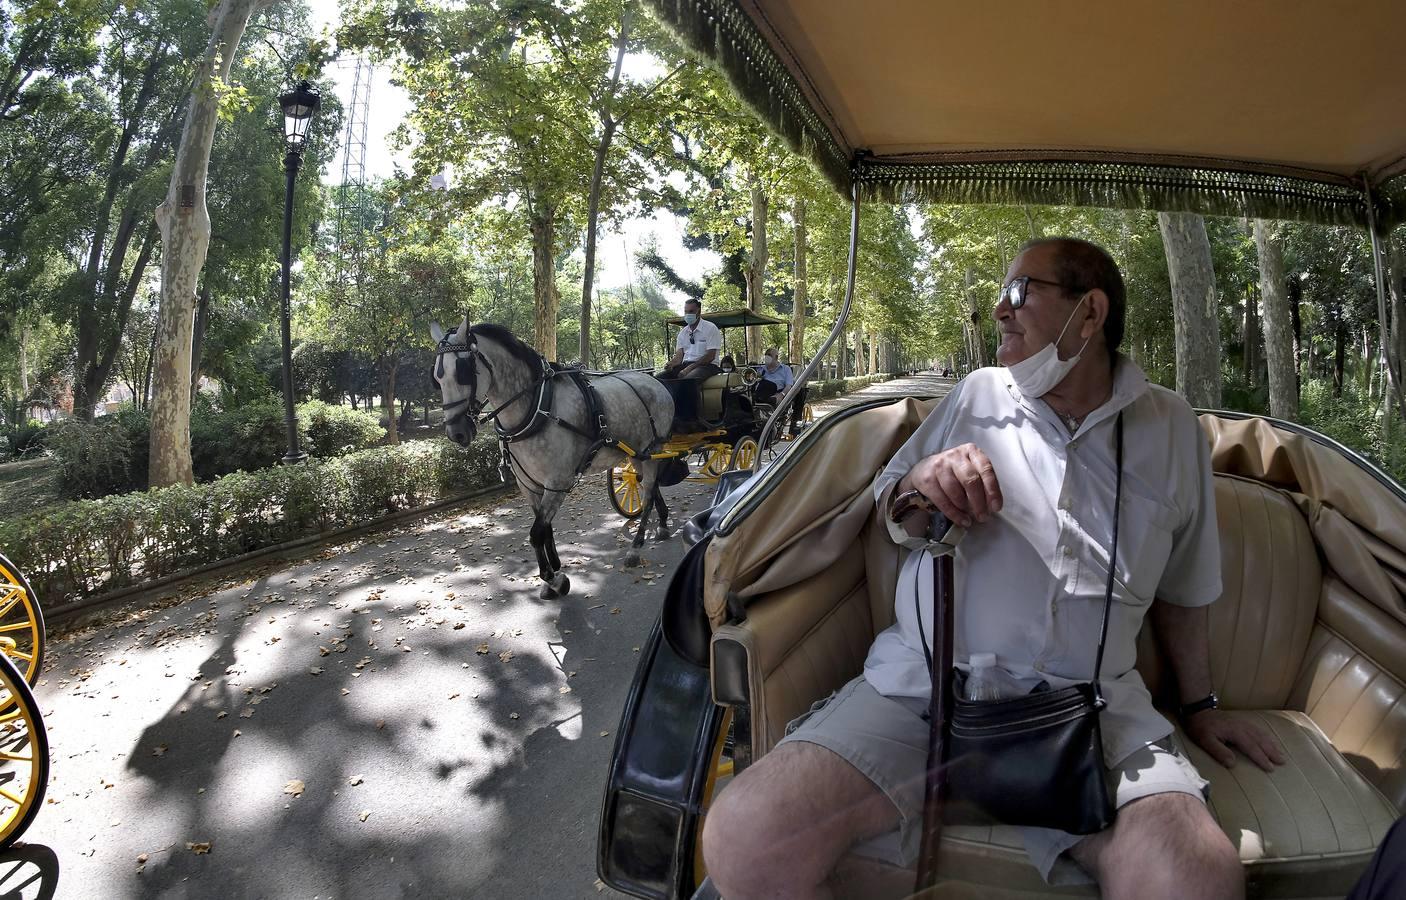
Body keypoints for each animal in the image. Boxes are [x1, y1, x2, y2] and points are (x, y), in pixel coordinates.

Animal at [427, 316, 674, 596]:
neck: (537, 408)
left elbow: (536, 532)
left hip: (652, 450)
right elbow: (545, 529)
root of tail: (655, 382)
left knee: (649, 490)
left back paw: (636, 545)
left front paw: (554, 579)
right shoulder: (529, 485)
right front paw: (554, 569)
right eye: (436, 377)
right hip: (636, 455)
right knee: (649, 487)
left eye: (463, 371)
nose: (456, 432)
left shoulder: (557, 483)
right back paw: (662, 523)